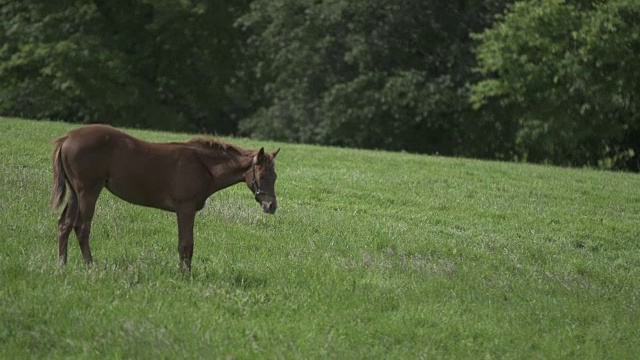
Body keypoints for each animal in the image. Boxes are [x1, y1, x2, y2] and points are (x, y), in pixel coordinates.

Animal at [50, 124, 280, 270]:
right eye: (262, 176)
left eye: (275, 176)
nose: (271, 205)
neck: (202, 165)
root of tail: (68, 137)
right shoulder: (185, 208)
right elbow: (186, 244)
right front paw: (185, 276)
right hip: (88, 191)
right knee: (82, 227)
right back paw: (90, 266)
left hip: (75, 193)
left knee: (64, 224)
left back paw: (62, 265)